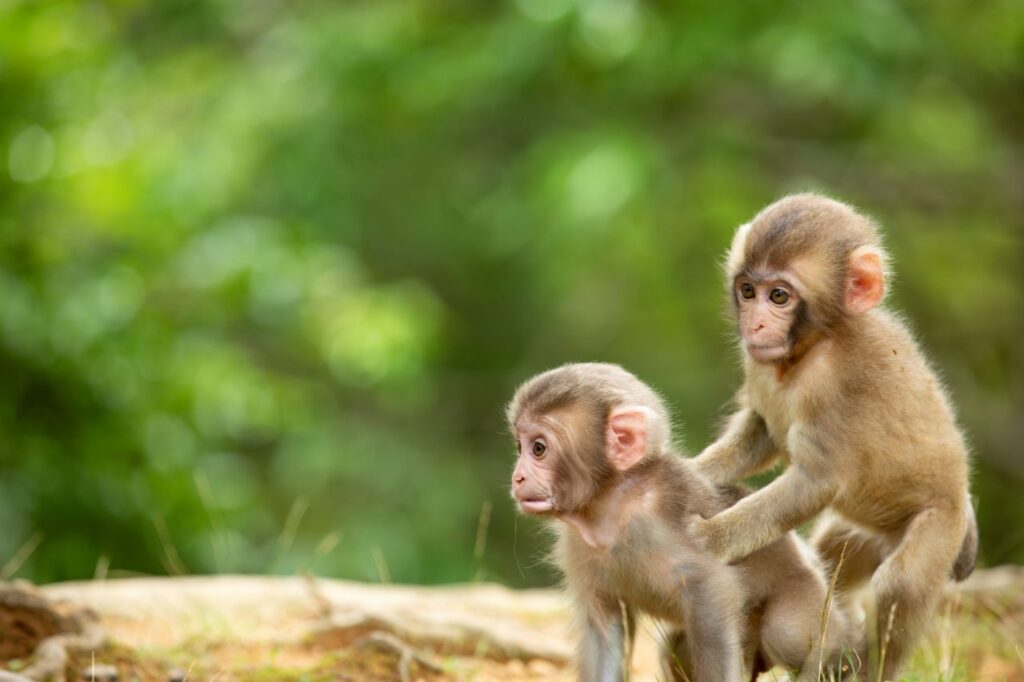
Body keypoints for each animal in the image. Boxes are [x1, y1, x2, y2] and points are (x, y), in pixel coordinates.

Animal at [507, 360, 851, 679]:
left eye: (539, 448)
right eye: (519, 446)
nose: (517, 477)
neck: (612, 508)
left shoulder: (667, 530)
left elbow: (712, 603)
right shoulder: (580, 546)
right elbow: (603, 631)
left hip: (806, 599)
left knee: (786, 633)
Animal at [696, 192, 974, 679]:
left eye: (779, 296)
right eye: (748, 290)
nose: (755, 325)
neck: (807, 351)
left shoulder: (836, 388)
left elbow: (814, 483)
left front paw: (710, 540)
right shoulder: (759, 368)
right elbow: (761, 435)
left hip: (940, 526)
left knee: (900, 585)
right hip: (865, 534)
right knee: (832, 555)